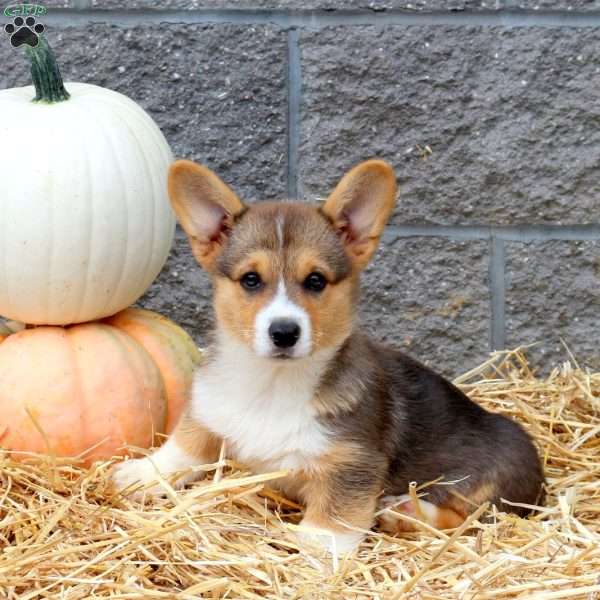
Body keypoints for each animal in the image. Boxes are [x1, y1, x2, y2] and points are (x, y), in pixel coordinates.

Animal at [111, 158, 544, 552]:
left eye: (316, 280)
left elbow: (333, 518)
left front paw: (316, 552)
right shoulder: (210, 413)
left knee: (468, 519)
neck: (272, 385)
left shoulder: (353, 463)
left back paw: (406, 512)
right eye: (251, 280)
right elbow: (183, 446)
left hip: (488, 480)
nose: (284, 332)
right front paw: (142, 472)